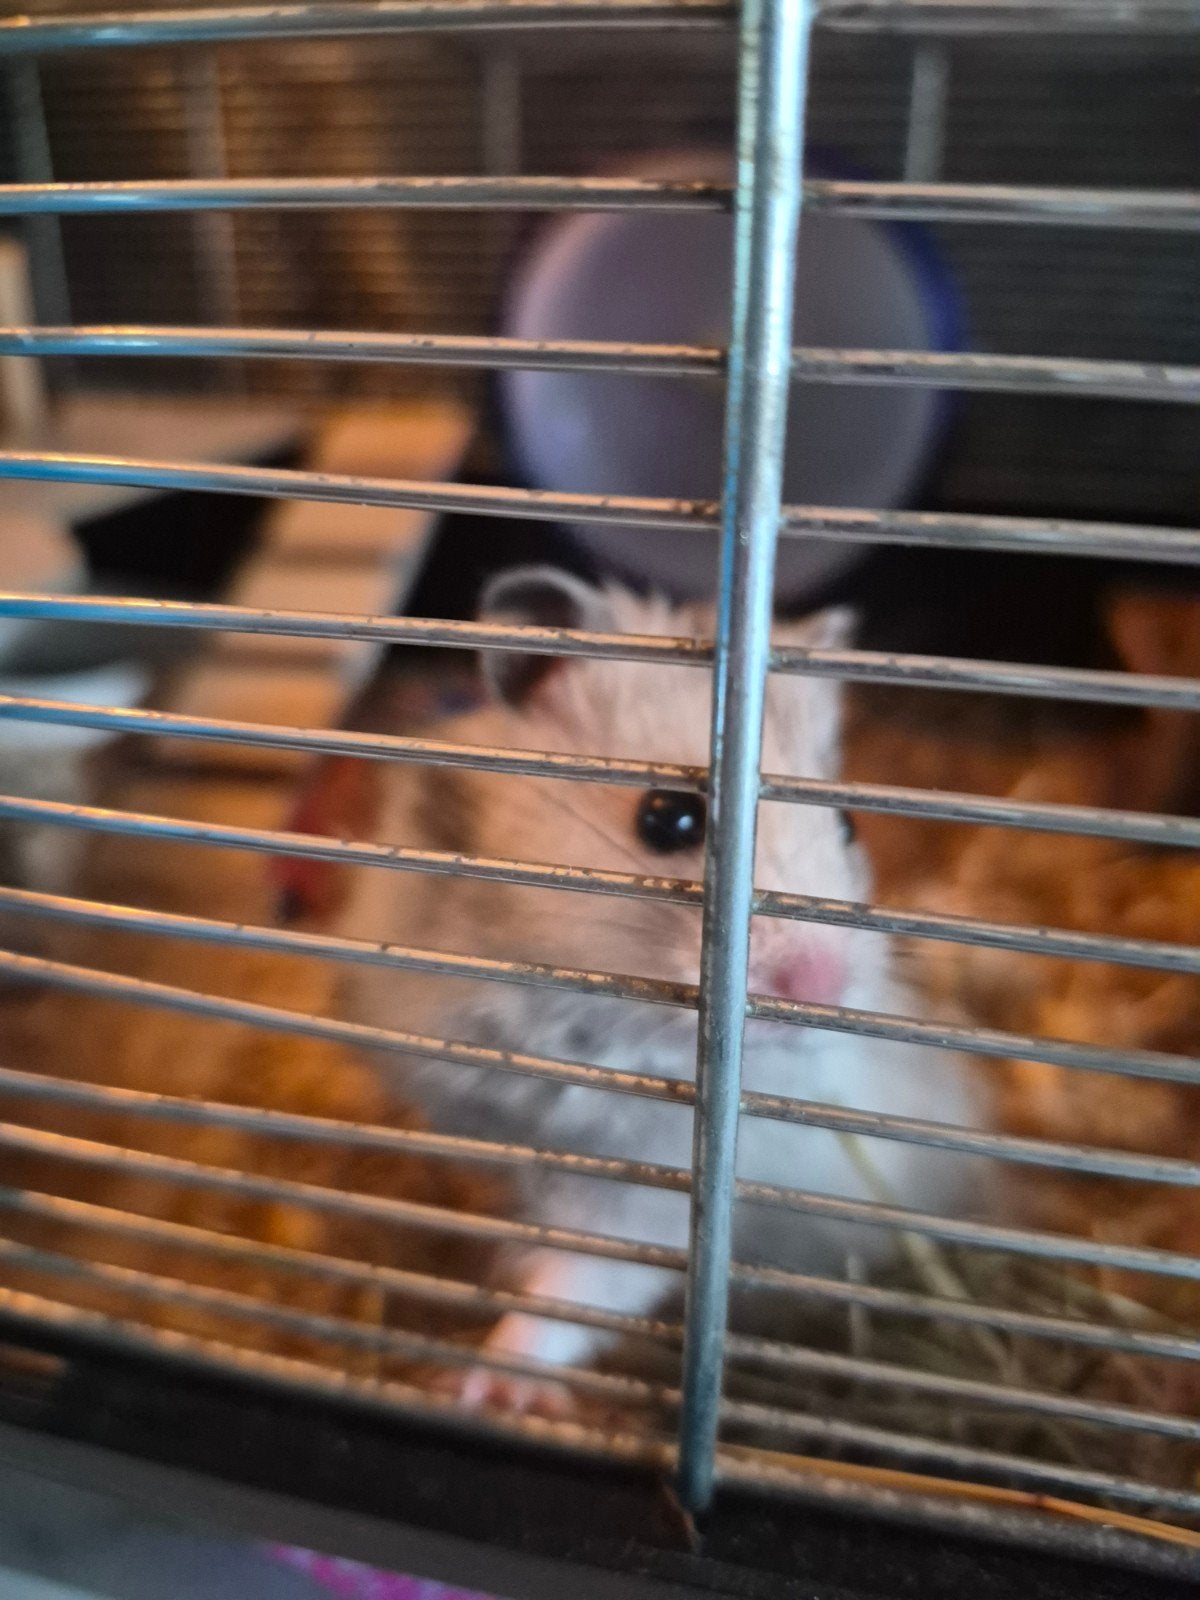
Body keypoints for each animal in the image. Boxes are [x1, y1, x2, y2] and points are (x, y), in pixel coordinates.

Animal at [335, 567, 979, 1406]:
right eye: (668, 818)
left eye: (847, 827)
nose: (821, 987)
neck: (597, 1021)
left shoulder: (644, 1200)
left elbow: (577, 1290)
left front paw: (475, 1386)